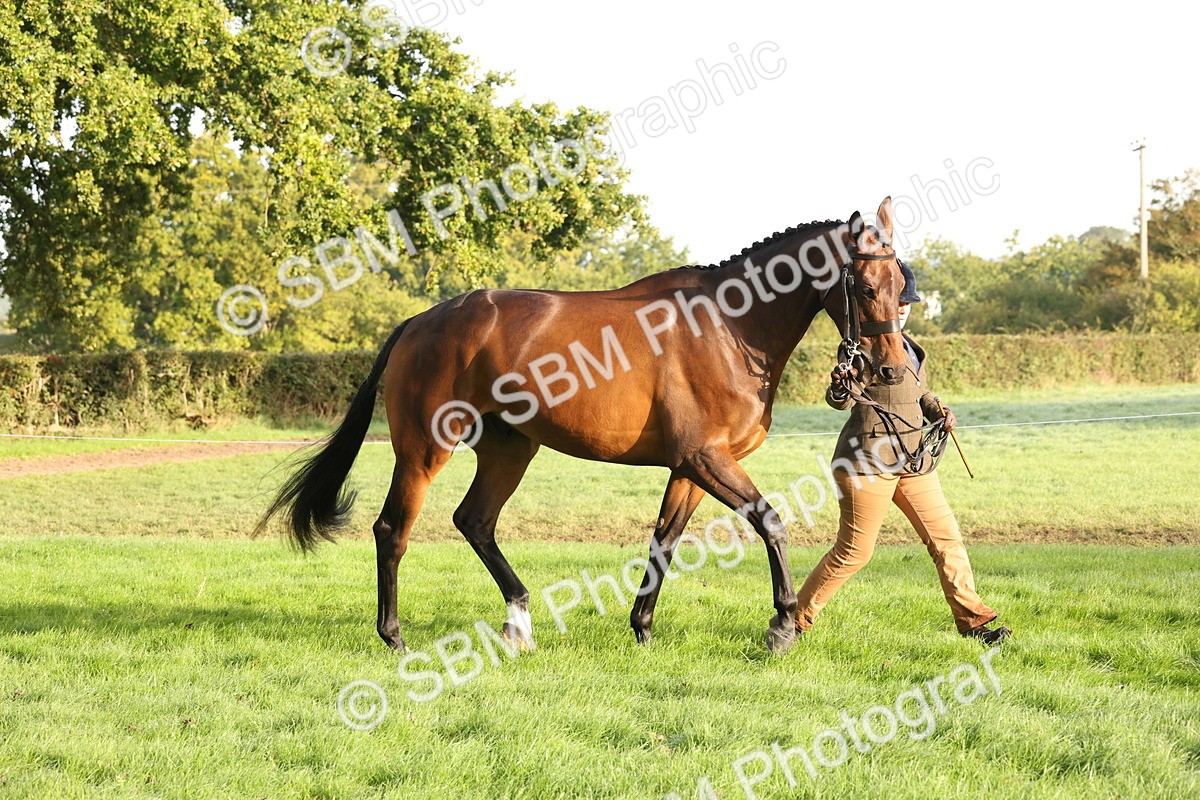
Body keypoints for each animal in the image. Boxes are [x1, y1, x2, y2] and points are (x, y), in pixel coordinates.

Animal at [255, 196, 908, 654]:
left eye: (902, 286)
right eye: (864, 285)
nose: (889, 368)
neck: (729, 326)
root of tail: (420, 321)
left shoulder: (689, 467)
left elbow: (664, 539)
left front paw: (642, 628)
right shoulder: (706, 457)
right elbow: (770, 522)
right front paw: (782, 624)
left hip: (509, 450)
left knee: (475, 522)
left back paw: (520, 621)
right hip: (423, 449)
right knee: (393, 530)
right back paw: (395, 636)